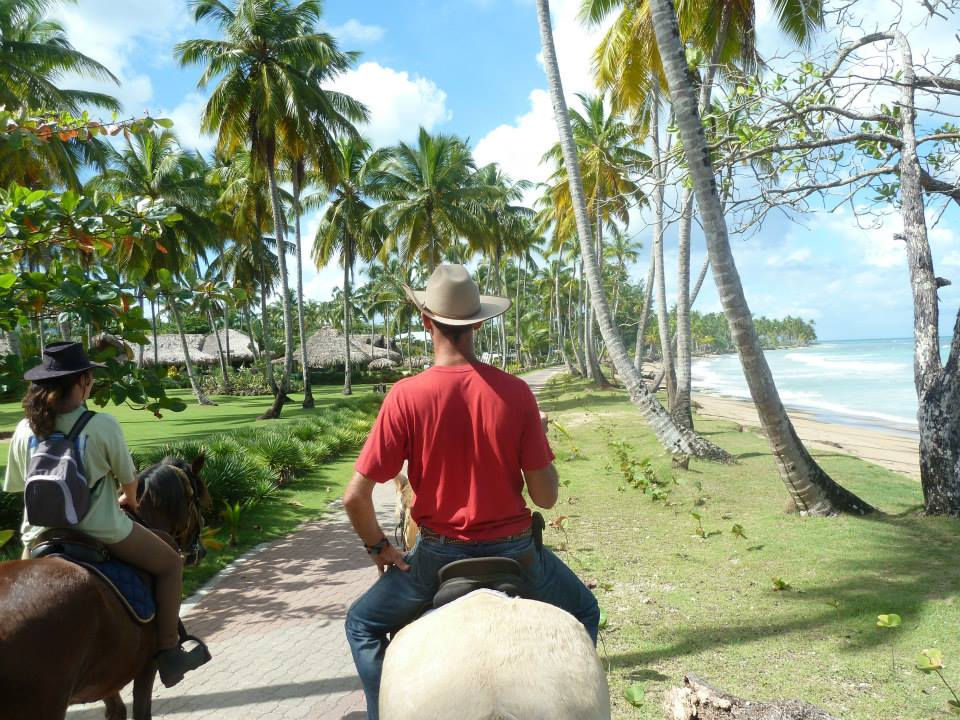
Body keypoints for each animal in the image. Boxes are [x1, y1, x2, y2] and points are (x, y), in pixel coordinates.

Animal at [0, 456, 210, 720]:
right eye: (197, 499)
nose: (200, 551)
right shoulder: (146, 666)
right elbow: (141, 711)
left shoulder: (107, 679)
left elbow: (117, 711)